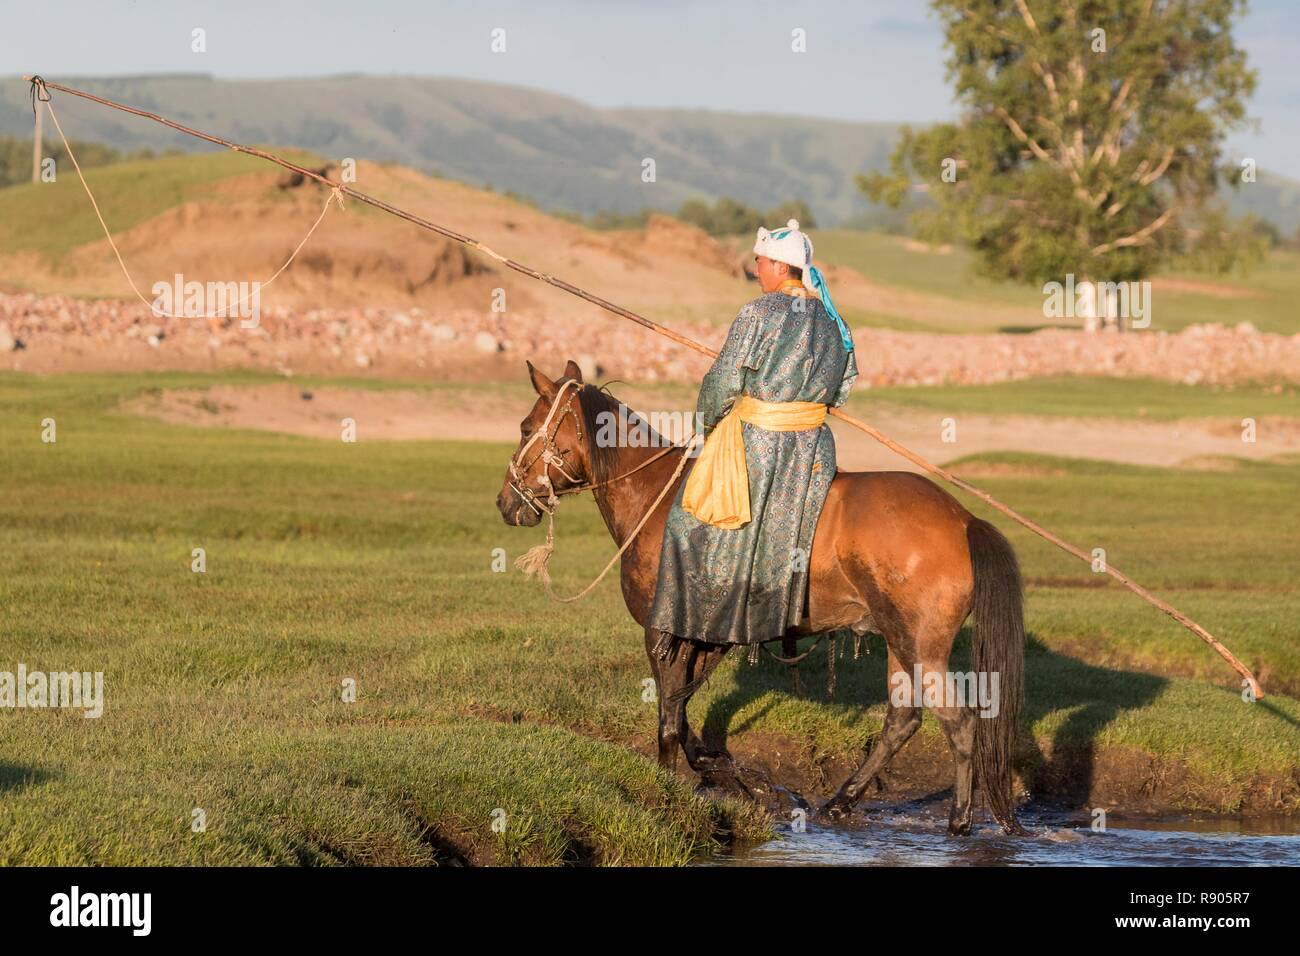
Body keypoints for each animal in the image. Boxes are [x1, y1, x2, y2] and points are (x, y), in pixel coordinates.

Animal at [496, 361, 1024, 837]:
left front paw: (667, 788)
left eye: (525, 428)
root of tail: (963, 520)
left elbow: (668, 718)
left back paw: (958, 822)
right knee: (903, 719)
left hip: (920, 645)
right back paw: (840, 802)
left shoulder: (662, 632)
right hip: (900, 640)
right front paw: (729, 775)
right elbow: (683, 717)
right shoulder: (698, 638)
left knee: (959, 723)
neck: (655, 498)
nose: (505, 503)